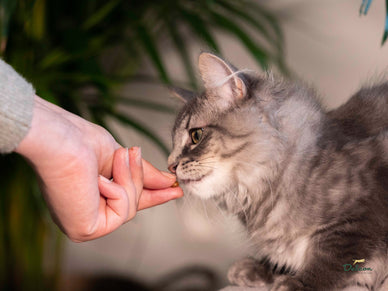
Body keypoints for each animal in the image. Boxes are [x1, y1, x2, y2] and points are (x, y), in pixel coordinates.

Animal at [167, 53, 388, 291]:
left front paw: (297, 284)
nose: (170, 166)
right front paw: (258, 270)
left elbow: (330, 261)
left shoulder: (360, 215)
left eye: (196, 135)